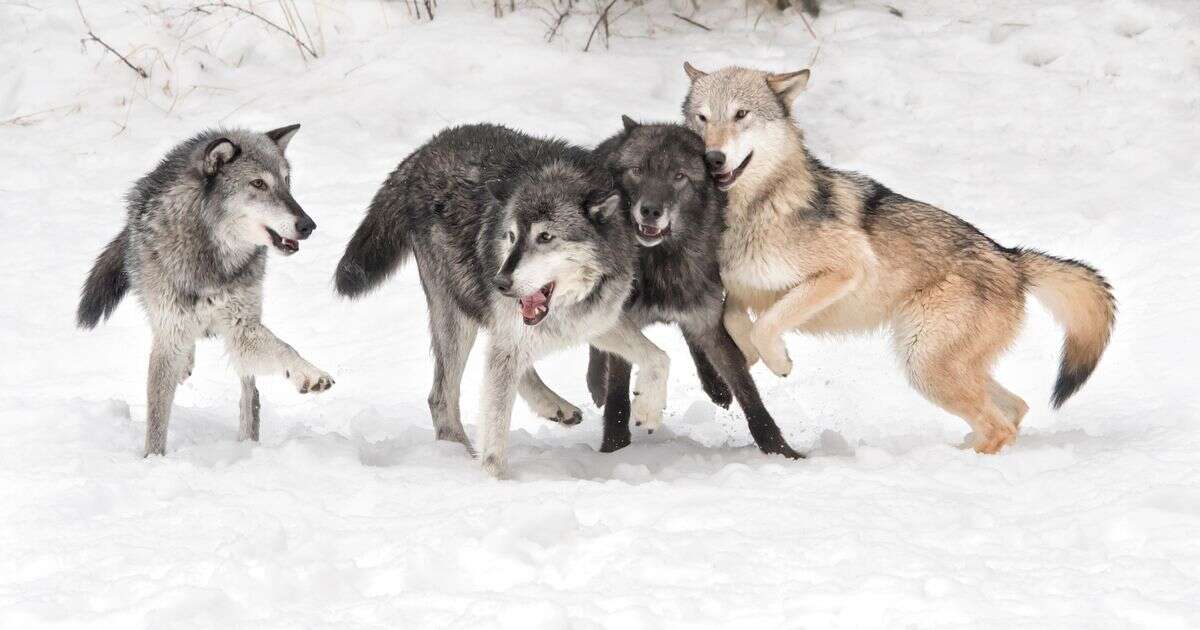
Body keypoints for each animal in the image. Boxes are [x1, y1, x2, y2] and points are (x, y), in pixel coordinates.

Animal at [75, 125, 333, 453]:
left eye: (287, 183)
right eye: (258, 183)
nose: (308, 225)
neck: (211, 254)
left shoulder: (241, 328)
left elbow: (284, 348)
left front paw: (310, 374)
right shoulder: (170, 332)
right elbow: (157, 415)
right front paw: (153, 459)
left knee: (249, 393)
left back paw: (248, 440)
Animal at [333, 123, 672, 477]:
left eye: (545, 237)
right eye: (510, 236)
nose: (500, 283)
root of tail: (428, 146)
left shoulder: (594, 321)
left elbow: (659, 358)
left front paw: (648, 410)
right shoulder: (517, 332)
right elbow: (495, 439)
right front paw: (492, 482)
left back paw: (556, 407)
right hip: (458, 317)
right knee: (440, 398)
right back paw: (455, 456)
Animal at [576, 116, 801, 456]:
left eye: (679, 176)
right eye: (637, 170)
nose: (650, 211)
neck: (662, 262)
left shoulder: (707, 321)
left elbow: (748, 393)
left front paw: (782, 452)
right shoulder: (624, 324)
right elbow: (617, 398)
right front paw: (614, 447)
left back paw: (716, 388)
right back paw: (594, 384)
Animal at [681, 63, 1118, 448]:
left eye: (741, 114)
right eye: (702, 118)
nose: (713, 157)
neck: (753, 211)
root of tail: (1012, 259)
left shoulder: (846, 268)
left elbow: (765, 325)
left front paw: (779, 362)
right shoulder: (740, 288)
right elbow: (737, 321)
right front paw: (751, 359)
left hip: (922, 362)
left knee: (1000, 426)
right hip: (935, 363)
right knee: (1016, 409)